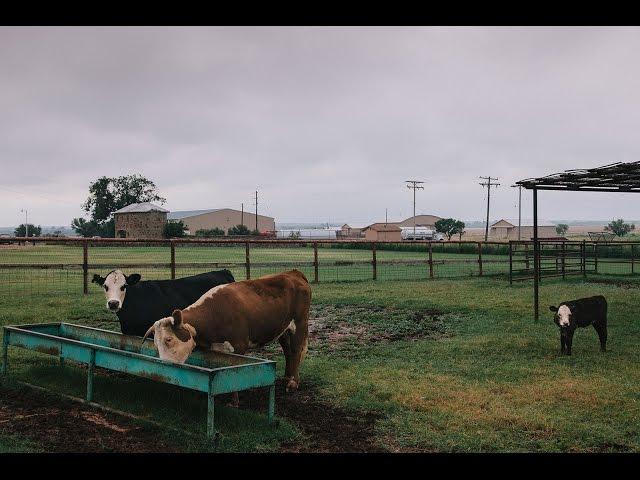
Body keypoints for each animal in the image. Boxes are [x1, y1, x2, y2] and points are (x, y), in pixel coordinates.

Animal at [141, 268, 312, 392]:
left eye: (169, 339)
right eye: (155, 343)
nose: (163, 366)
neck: (214, 313)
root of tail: (293, 273)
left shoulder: (239, 347)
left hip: (300, 324)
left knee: (296, 350)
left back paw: (293, 382)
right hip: (283, 329)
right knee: (288, 351)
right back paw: (287, 377)